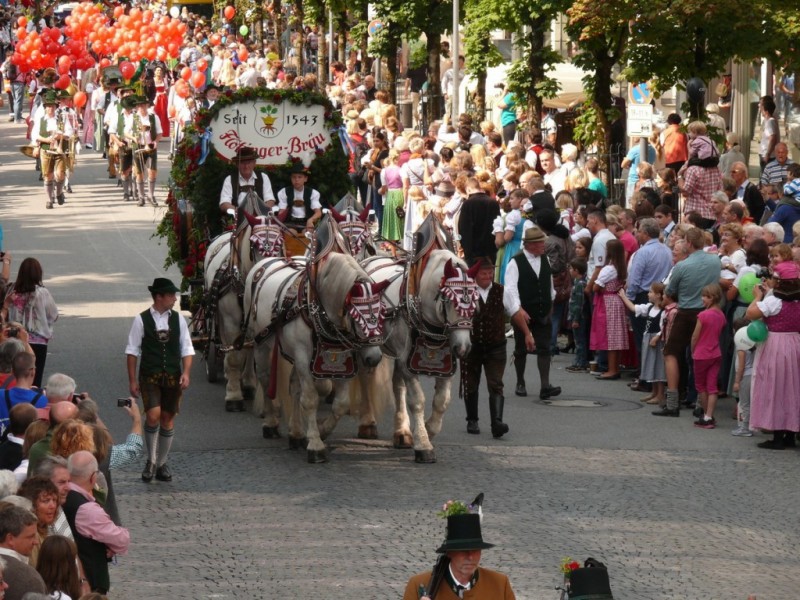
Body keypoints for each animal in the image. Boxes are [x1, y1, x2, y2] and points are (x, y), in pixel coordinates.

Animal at [203, 211, 294, 412]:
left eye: (280, 242)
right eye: (254, 245)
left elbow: (249, 349)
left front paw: (247, 383)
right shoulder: (230, 321)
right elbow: (234, 357)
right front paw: (234, 396)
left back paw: (247, 382)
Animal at [247, 244, 390, 464]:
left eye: (382, 313)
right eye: (357, 317)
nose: (374, 358)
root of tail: (262, 264)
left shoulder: (342, 359)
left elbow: (340, 404)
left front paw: (322, 430)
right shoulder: (304, 358)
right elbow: (310, 400)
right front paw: (315, 444)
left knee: (294, 387)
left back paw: (296, 432)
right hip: (261, 346)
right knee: (265, 379)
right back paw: (271, 424)